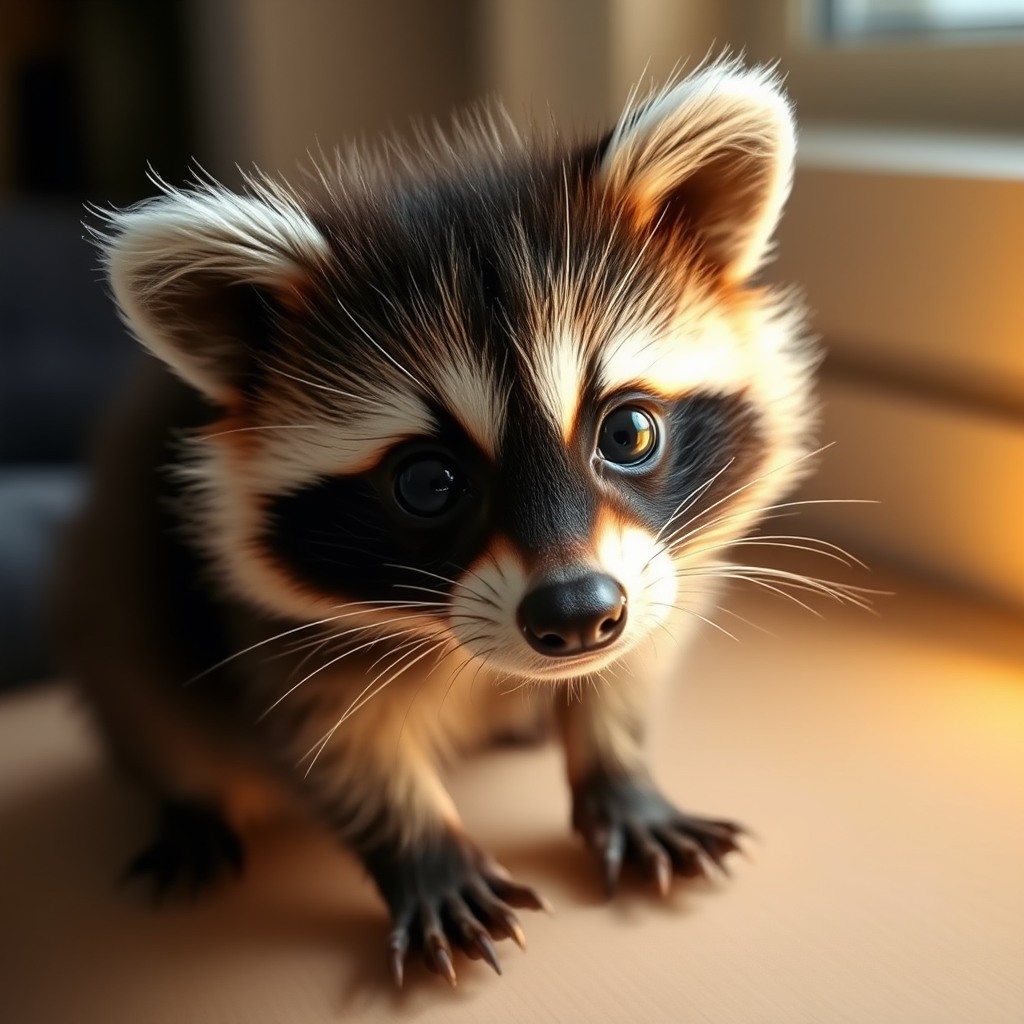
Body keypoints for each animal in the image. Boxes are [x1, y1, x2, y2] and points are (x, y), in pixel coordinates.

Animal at [57, 59, 821, 986]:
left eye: (629, 433)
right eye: (428, 483)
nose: (577, 617)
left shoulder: (655, 574)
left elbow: (629, 669)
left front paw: (621, 775)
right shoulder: (260, 623)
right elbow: (333, 744)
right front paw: (422, 850)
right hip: (110, 604)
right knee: (147, 701)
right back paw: (190, 803)